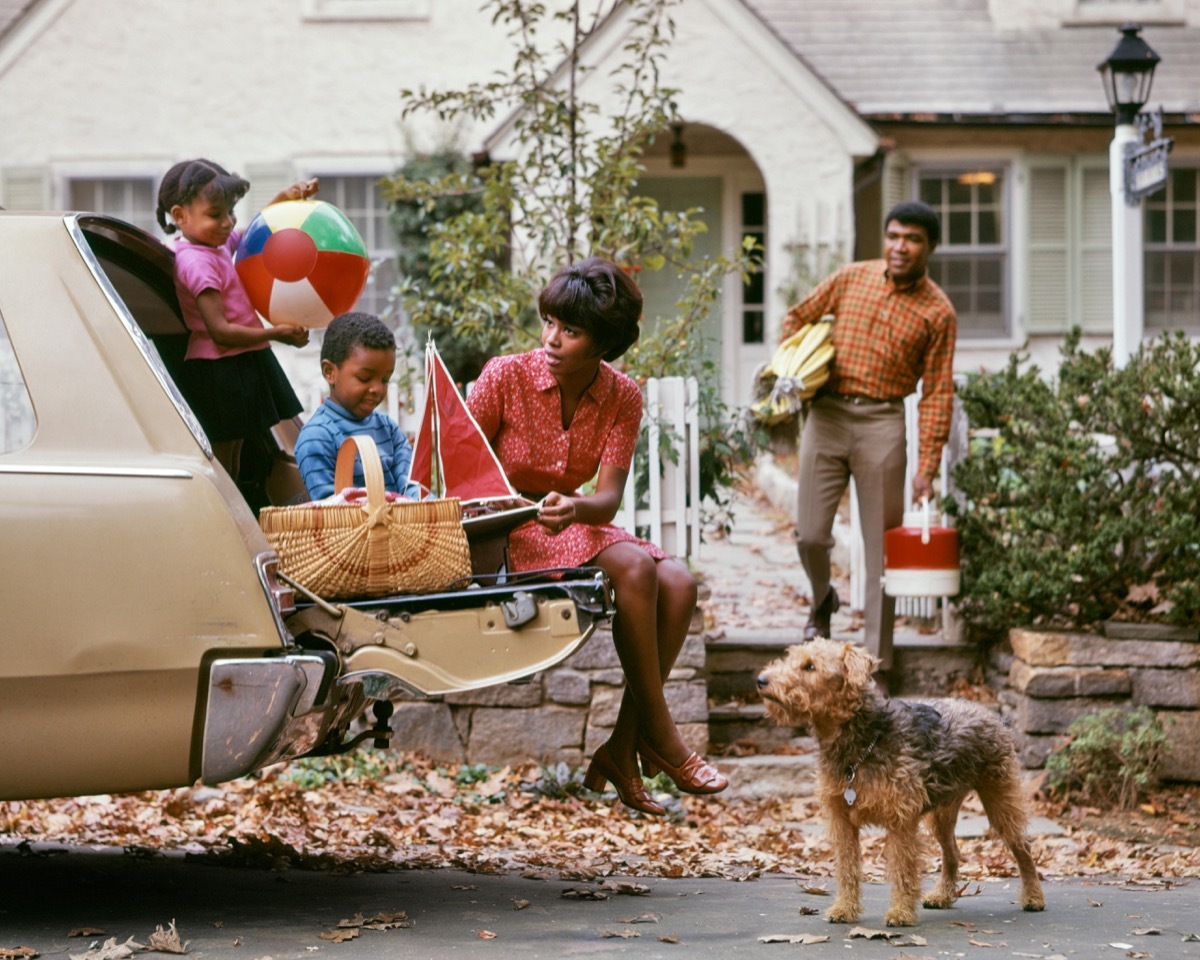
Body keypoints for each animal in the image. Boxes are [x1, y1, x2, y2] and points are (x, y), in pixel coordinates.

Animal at [758, 643, 1041, 926]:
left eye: (810, 666)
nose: (761, 680)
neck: (862, 744)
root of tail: (992, 714)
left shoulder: (901, 819)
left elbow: (903, 869)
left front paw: (901, 912)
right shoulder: (842, 820)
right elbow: (847, 868)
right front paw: (845, 909)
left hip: (1000, 800)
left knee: (1023, 847)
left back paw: (1033, 897)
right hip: (942, 812)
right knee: (953, 853)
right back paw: (942, 896)